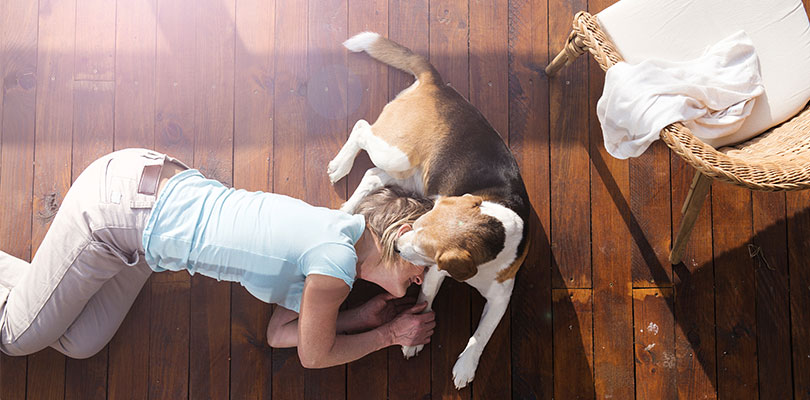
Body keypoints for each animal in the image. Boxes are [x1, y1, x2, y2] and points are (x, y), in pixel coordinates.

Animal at [328, 32, 532, 390]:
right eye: (416, 223)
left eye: (425, 248)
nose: (397, 247)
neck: (496, 225)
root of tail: (436, 83)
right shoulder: (436, 273)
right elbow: (425, 300)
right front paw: (414, 337)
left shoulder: (500, 296)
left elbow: (481, 335)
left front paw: (466, 366)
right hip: (397, 153)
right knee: (362, 128)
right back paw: (340, 165)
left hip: (409, 175)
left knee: (371, 176)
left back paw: (348, 209)